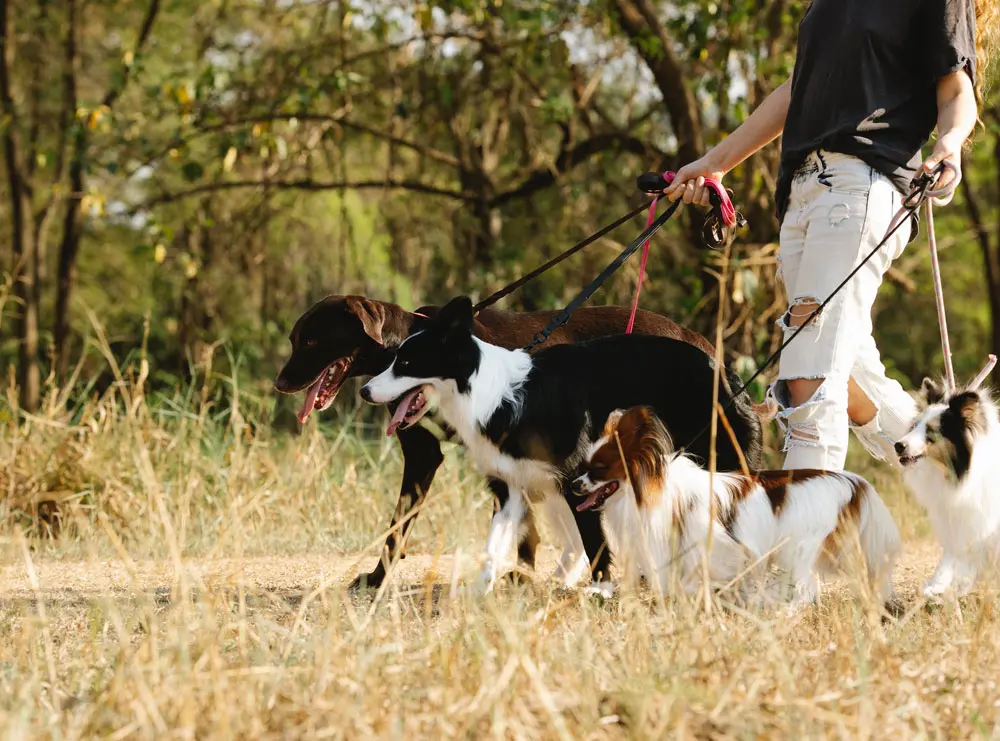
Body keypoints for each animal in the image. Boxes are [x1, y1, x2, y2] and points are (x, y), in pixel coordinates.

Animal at [274, 294, 728, 588]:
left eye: (311, 340)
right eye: (295, 339)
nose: (280, 384)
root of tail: (698, 341)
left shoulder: (439, 457)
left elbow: (397, 527)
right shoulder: (458, 456)